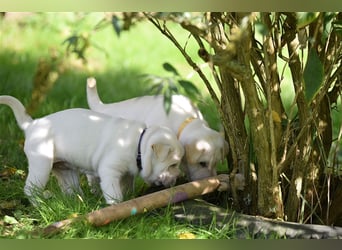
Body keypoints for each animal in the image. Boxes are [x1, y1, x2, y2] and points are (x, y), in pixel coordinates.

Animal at [0, 94, 184, 204]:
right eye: (173, 165)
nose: (178, 178)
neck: (139, 144)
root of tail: (32, 124)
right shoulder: (110, 171)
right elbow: (114, 193)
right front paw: (116, 206)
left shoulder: (126, 174)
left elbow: (126, 187)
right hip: (41, 164)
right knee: (30, 189)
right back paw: (39, 204)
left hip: (65, 170)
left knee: (69, 188)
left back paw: (76, 202)